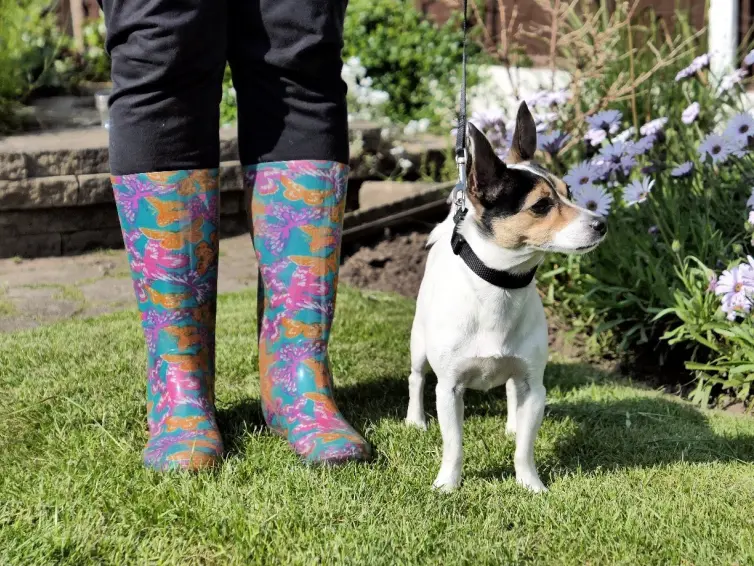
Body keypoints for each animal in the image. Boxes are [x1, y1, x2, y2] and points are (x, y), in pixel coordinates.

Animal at [406, 102, 604, 492]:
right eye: (541, 205)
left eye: (569, 191)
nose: (601, 223)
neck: (500, 287)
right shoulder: (449, 390)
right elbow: (453, 445)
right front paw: (448, 484)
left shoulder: (535, 386)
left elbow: (525, 446)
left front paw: (530, 483)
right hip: (419, 345)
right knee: (416, 378)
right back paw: (415, 420)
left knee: (512, 392)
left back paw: (512, 424)